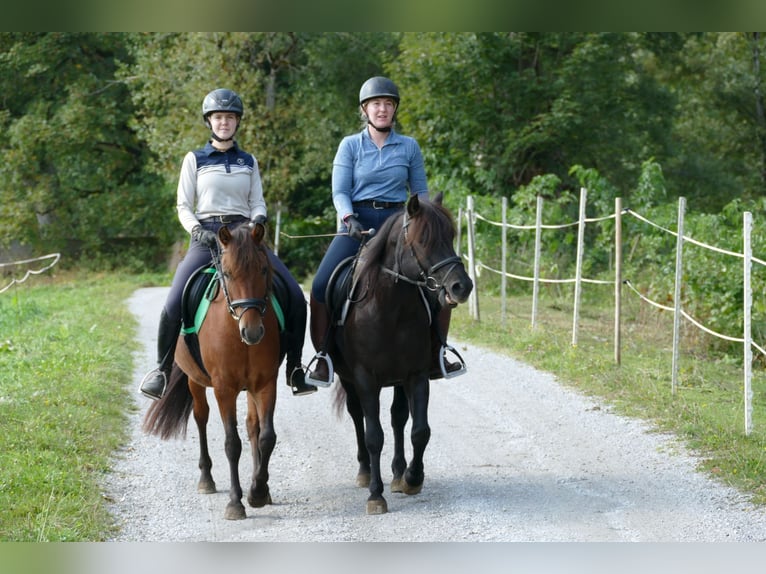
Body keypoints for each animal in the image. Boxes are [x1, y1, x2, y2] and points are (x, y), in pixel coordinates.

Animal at [142, 224, 280, 520]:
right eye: (227, 273)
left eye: (264, 269)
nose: (252, 332)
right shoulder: (223, 388)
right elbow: (232, 444)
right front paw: (235, 503)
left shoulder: (265, 384)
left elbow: (266, 437)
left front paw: (258, 492)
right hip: (195, 381)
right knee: (201, 418)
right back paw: (206, 479)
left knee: (252, 426)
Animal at [326, 195, 472, 516]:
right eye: (423, 240)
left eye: (451, 236)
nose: (462, 286)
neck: (390, 308)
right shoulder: (365, 378)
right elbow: (373, 435)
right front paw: (375, 495)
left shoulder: (416, 375)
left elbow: (419, 430)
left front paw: (412, 479)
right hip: (350, 378)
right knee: (358, 416)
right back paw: (365, 472)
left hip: (397, 380)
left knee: (398, 418)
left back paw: (397, 473)